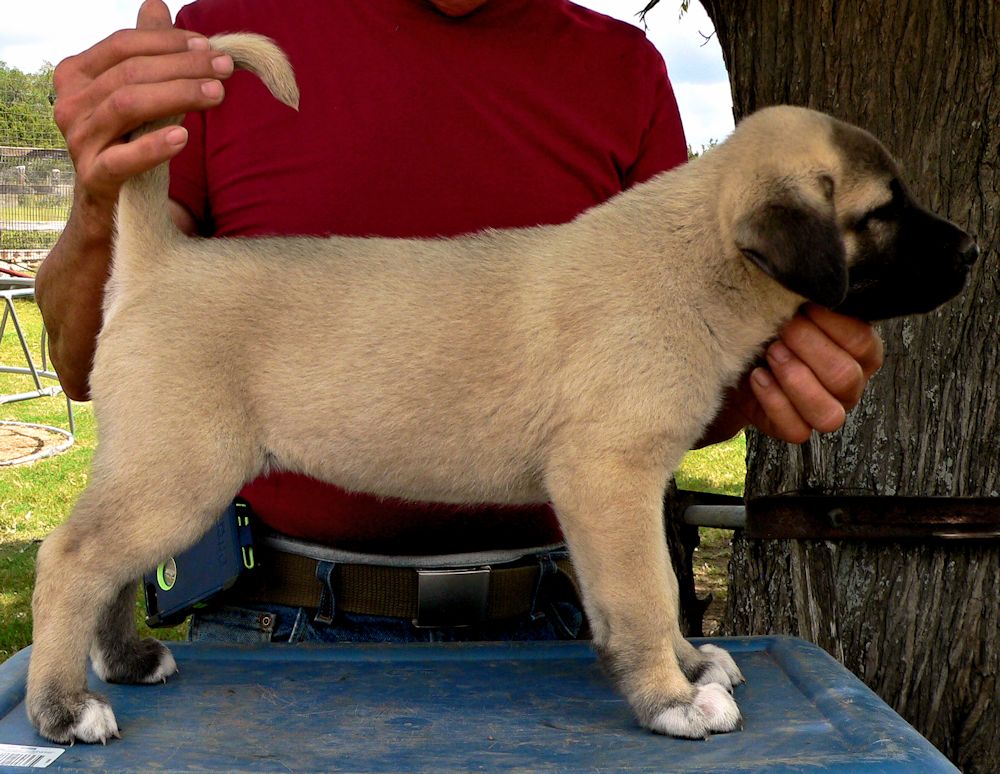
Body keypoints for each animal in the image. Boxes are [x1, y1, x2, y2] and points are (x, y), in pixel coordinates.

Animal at [29, 34, 976, 744]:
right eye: (883, 212)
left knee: (108, 567)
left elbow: (653, 596)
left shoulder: (623, 493)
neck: (694, 255)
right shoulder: (609, 479)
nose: (972, 250)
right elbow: (647, 592)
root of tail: (160, 261)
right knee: (71, 559)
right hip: (178, 473)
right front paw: (672, 697)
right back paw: (64, 707)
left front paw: (688, 663)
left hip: (158, 474)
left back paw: (128, 661)